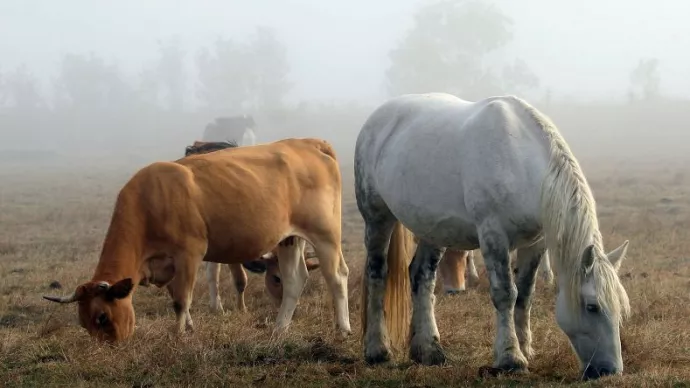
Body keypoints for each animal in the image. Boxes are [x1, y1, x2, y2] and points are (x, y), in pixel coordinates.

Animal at [354, 93, 628, 378]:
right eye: (592, 306)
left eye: (620, 308)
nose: (610, 371)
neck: (519, 162)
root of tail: (378, 116)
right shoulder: (493, 236)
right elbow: (506, 293)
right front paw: (511, 358)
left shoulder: (536, 244)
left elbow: (525, 295)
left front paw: (525, 348)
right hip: (377, 218)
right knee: (377, 274)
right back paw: (378, 351)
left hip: (431, 230)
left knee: (422, 278)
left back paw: (428, 351)